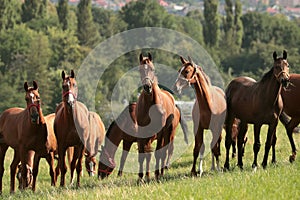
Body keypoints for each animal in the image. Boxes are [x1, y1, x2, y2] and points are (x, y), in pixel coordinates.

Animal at [137, 52, 183, 181]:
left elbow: (158, 153)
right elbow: (143, 154)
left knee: (165, 151)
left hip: (168, 133)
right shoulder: (142, 132)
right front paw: (141, 177)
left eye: (152, 69)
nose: (147, 87)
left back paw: (161, 172)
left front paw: (157, 174)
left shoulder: (161, 131)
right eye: (140, 70)